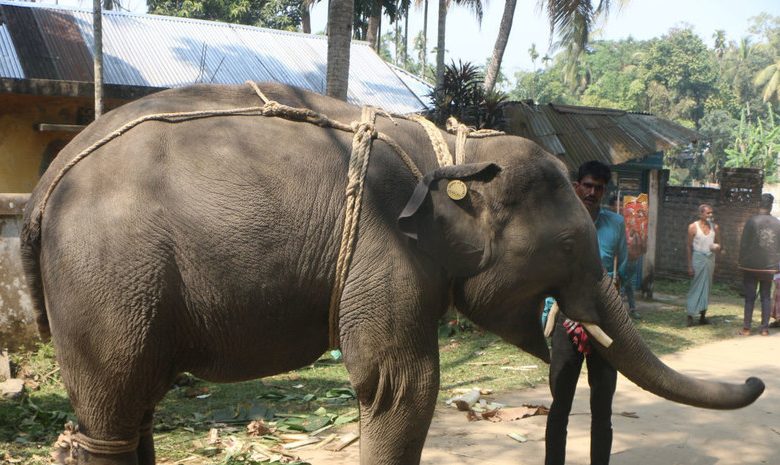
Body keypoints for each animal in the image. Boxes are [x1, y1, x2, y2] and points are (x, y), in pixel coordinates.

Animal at [21, 81, 764, 462]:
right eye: (566, 247)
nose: (759, 379)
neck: (454, 147)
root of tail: (43, 188)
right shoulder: (386, 248)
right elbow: (399, 388)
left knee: (133, 411)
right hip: (106, 279)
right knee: (112, 414)